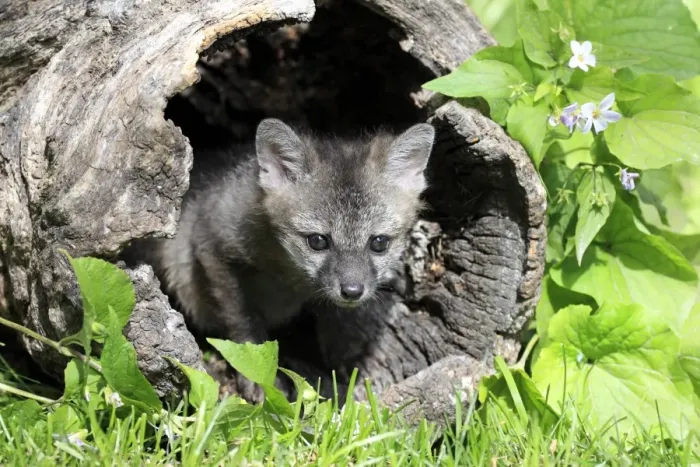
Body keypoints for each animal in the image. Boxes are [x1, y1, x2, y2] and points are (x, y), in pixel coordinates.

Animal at [130, 119, 435, 402]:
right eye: (318, 241)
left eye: (379, 243)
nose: (352, 291)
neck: (284, 277)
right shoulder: (211, 245)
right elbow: (244, 323)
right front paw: (255, 375)